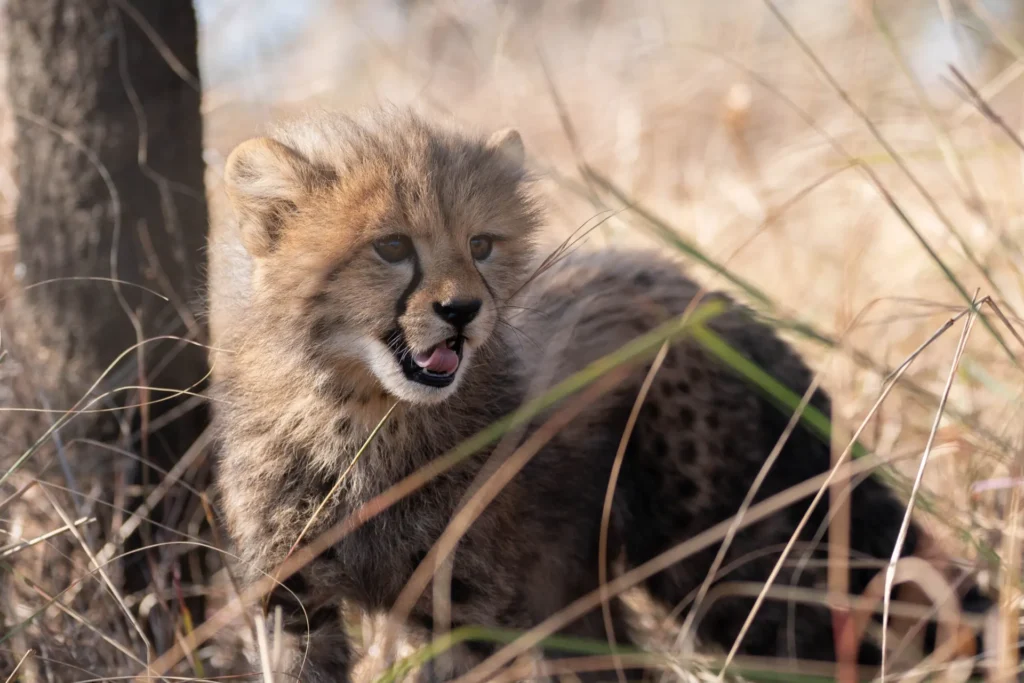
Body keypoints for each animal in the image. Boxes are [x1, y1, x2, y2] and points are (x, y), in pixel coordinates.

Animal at [206, 106, 996, 682]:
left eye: (482, 245)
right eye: (392, 247)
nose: (463, 311)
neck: (362, 417)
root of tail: (698, 288)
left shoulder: (461, 605)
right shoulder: (292, 603)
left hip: (732, 555)